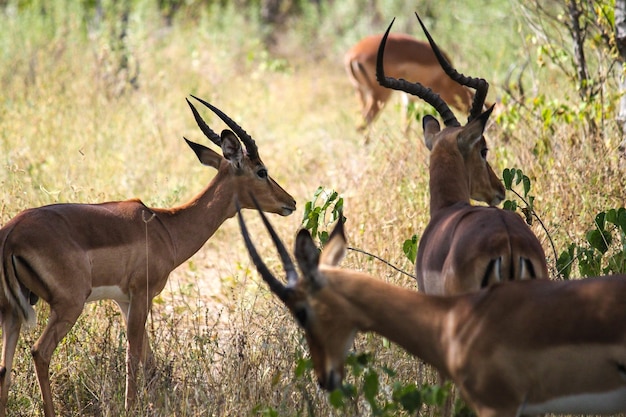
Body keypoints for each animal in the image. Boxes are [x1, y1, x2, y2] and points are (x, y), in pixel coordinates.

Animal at [0, 95, 294, 416]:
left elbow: (148, 360)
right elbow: (134, 354)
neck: (165, 227)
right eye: (261, 171)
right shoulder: (142, 293)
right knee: (40, 352)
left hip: (11, 312)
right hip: (68, 305)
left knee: (4, 368)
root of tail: (11, 234)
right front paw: (131, 407)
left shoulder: (125, 300)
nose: (290, 202)